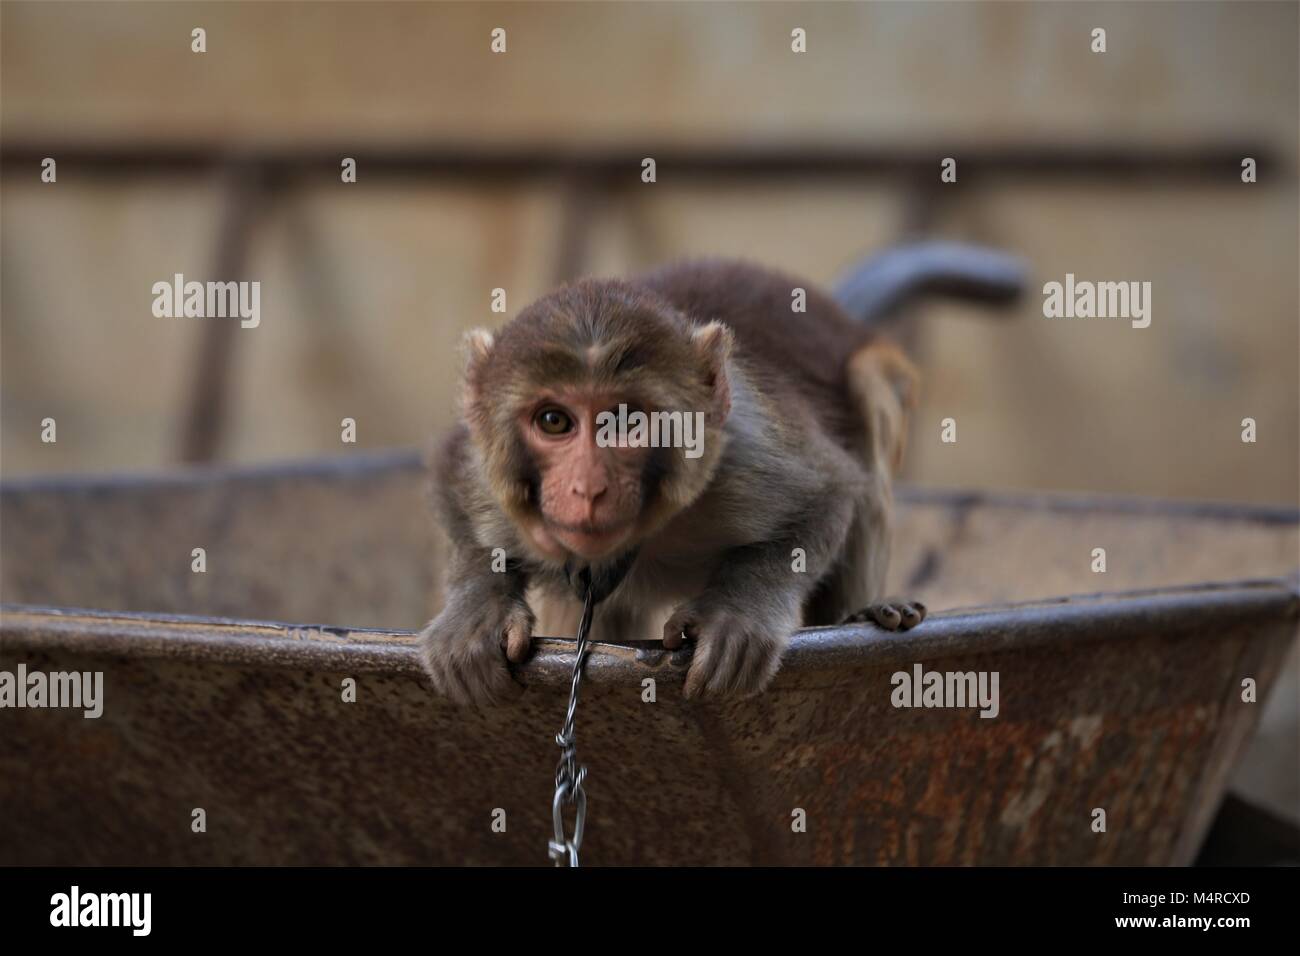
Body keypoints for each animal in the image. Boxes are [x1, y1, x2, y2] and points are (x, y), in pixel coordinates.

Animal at [418, 248, 1024, 712]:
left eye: (627, 422)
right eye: (553, 421)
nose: (588, 489)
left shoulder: (742, 455)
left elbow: (827, 491)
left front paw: (736, 616)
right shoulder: (482, 472)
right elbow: (452, 486)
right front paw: (477, 614)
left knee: (870, 391)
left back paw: (863, 614)